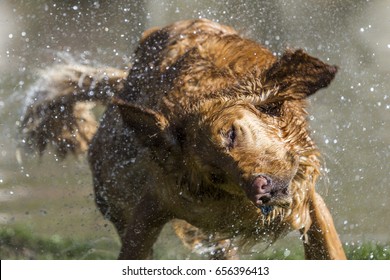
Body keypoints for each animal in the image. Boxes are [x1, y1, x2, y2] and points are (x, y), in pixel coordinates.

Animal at [20, 18, 344, 260]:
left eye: (232, 133)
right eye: (215, 174)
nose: (259, 189)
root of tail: (121, 88)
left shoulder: (307, 197)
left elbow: (329, 248)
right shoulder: (156, 204)